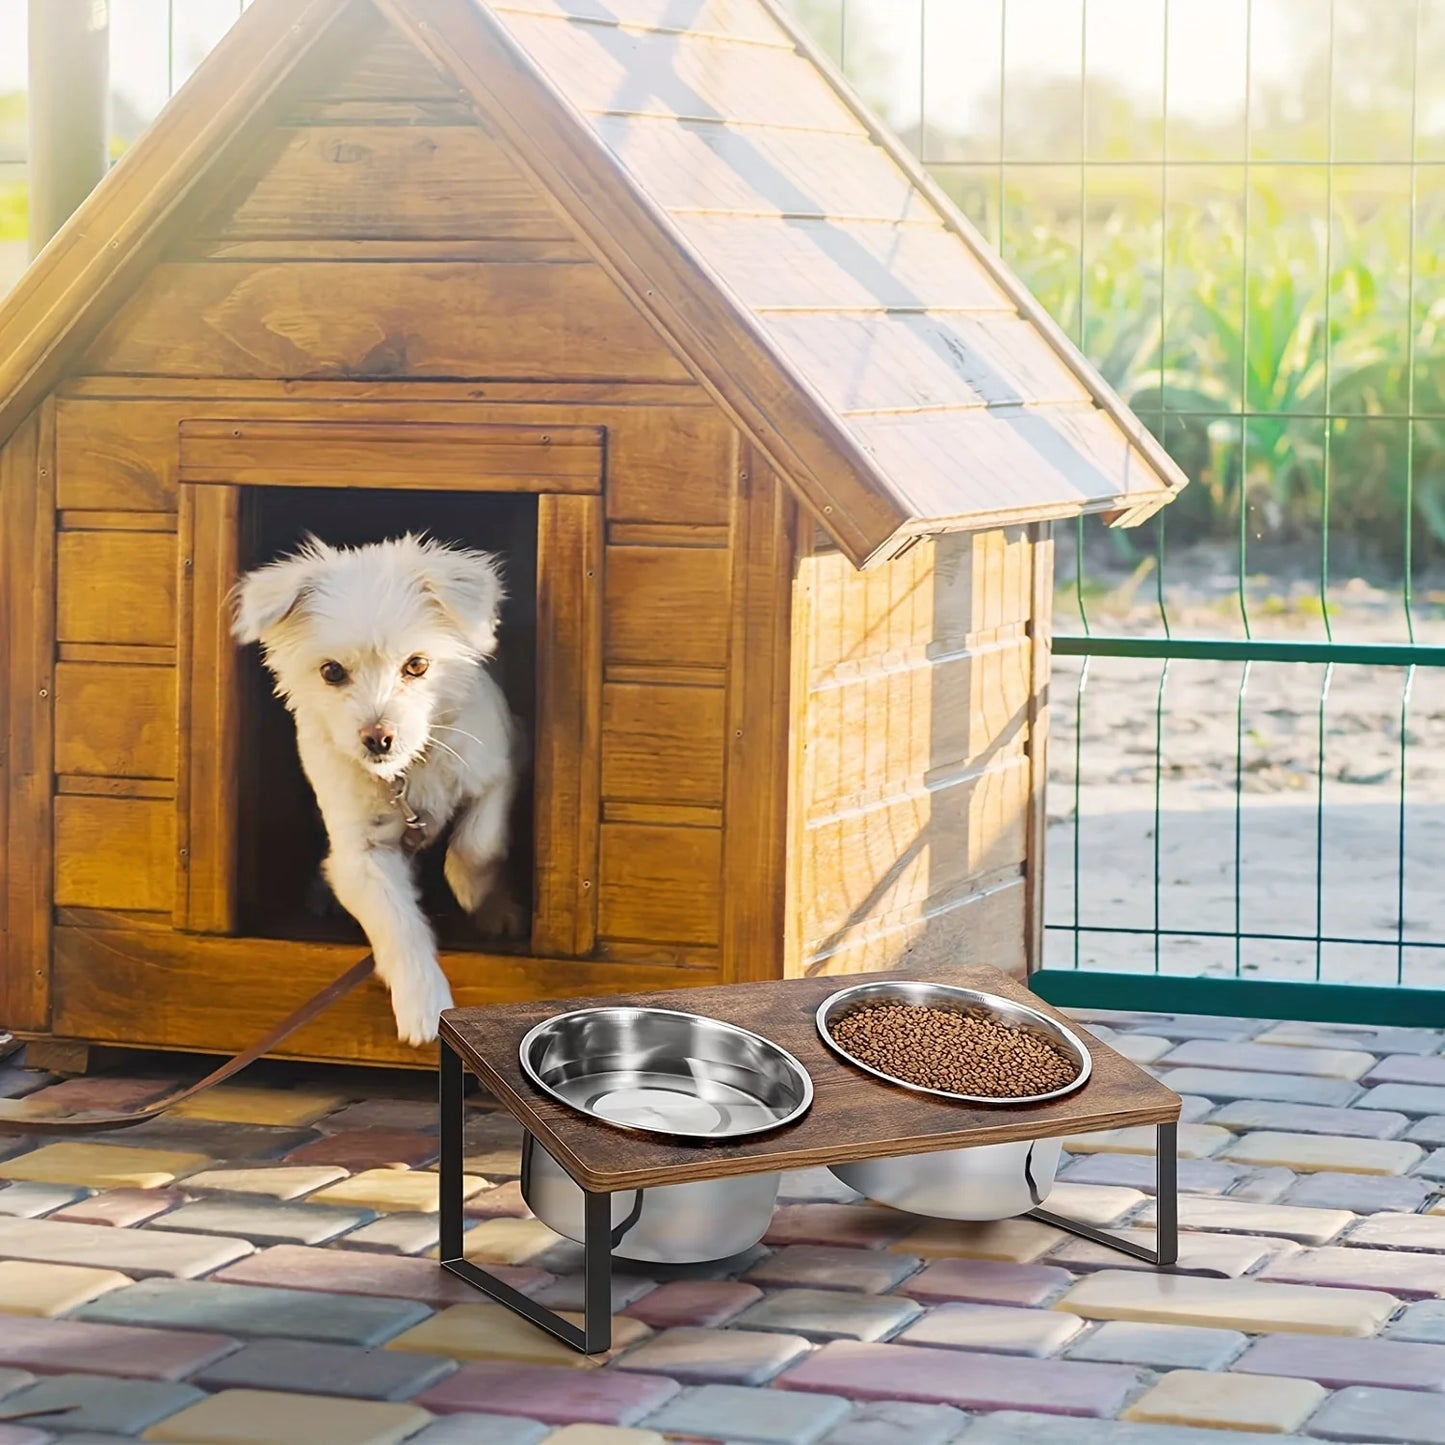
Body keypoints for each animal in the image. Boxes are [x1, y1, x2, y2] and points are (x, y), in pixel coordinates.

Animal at [234, 537, 528, 1046]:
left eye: (417, 665)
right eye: (332, 672)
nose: (378, 737)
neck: (407, 772)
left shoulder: (502, 765)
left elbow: (479, 843)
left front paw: (472, 891)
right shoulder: (361, 856)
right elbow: (397, 924)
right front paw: (423, 1004)